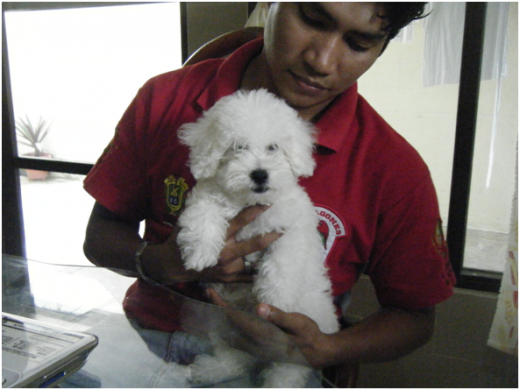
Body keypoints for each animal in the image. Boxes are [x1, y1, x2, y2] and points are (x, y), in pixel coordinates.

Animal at [177, 89, 340, 386]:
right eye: (238, 147)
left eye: (273, 148)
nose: (260, 173)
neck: (250, 202)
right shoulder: (208, 195)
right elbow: (202, 213)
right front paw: (200, 253)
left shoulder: (293, 228)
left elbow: (283, 260)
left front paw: (274, 297)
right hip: (224, 323)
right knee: (235, 356)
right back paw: (211, 370)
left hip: (294, 349)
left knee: (285, 373)